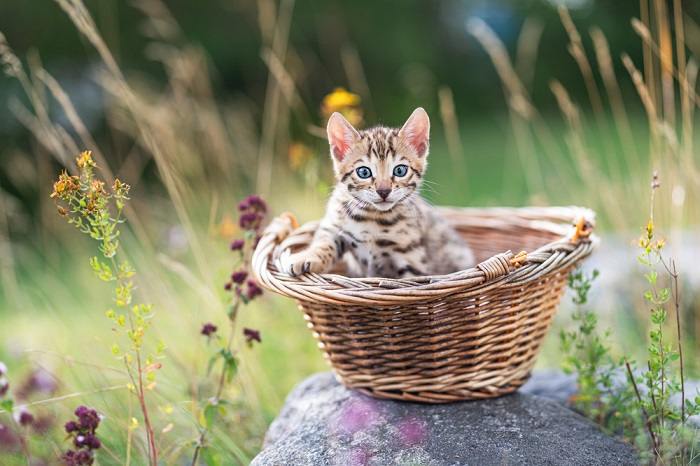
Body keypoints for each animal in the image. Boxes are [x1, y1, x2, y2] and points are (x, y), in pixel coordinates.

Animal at [282, 107, 474, 278]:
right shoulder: (333, 225)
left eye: (400, 170)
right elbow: (324, 242)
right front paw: (305, 257)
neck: (372, 216)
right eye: (364, 172)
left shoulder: (411, 260)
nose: (384, 191)